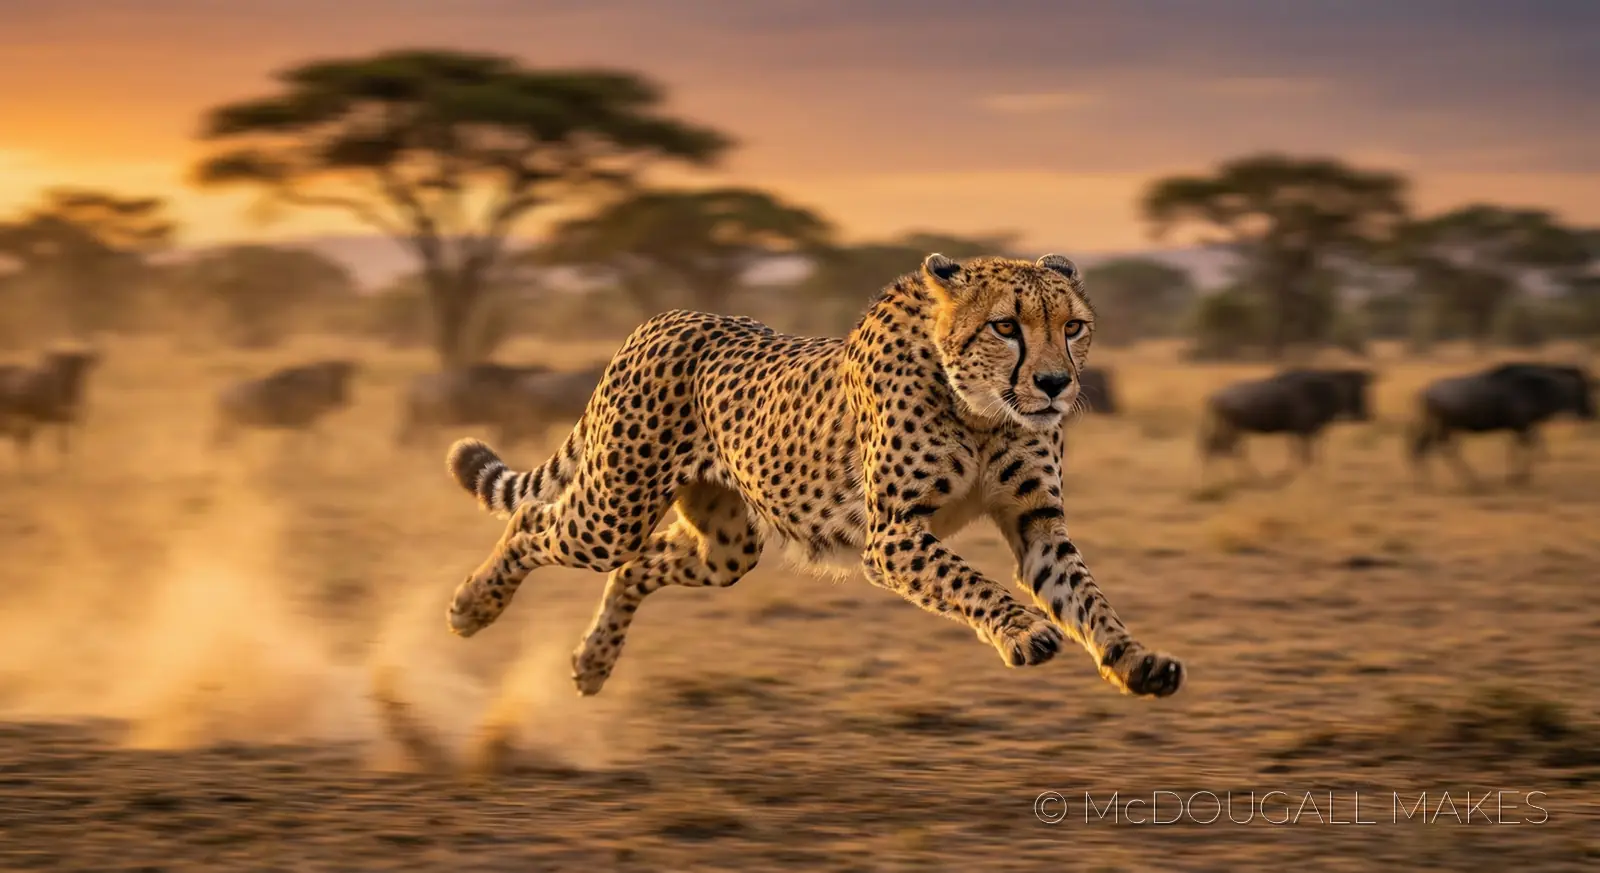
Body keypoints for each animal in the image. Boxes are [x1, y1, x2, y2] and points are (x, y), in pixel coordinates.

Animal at [442, 252, 1185, 700]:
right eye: (1006, 326)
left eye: (1074, 326)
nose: (1057, 384)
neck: (980, 409)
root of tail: (665, 316)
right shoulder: (893, 536)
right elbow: (970, 582)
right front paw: (1023, 632)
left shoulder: (1036, 523)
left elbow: (1085, 595)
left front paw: (1134, 658)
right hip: (613, 509)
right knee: (533, 522)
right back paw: (473, 605)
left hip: (727, 546)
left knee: (637, 565)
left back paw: (594, 661)